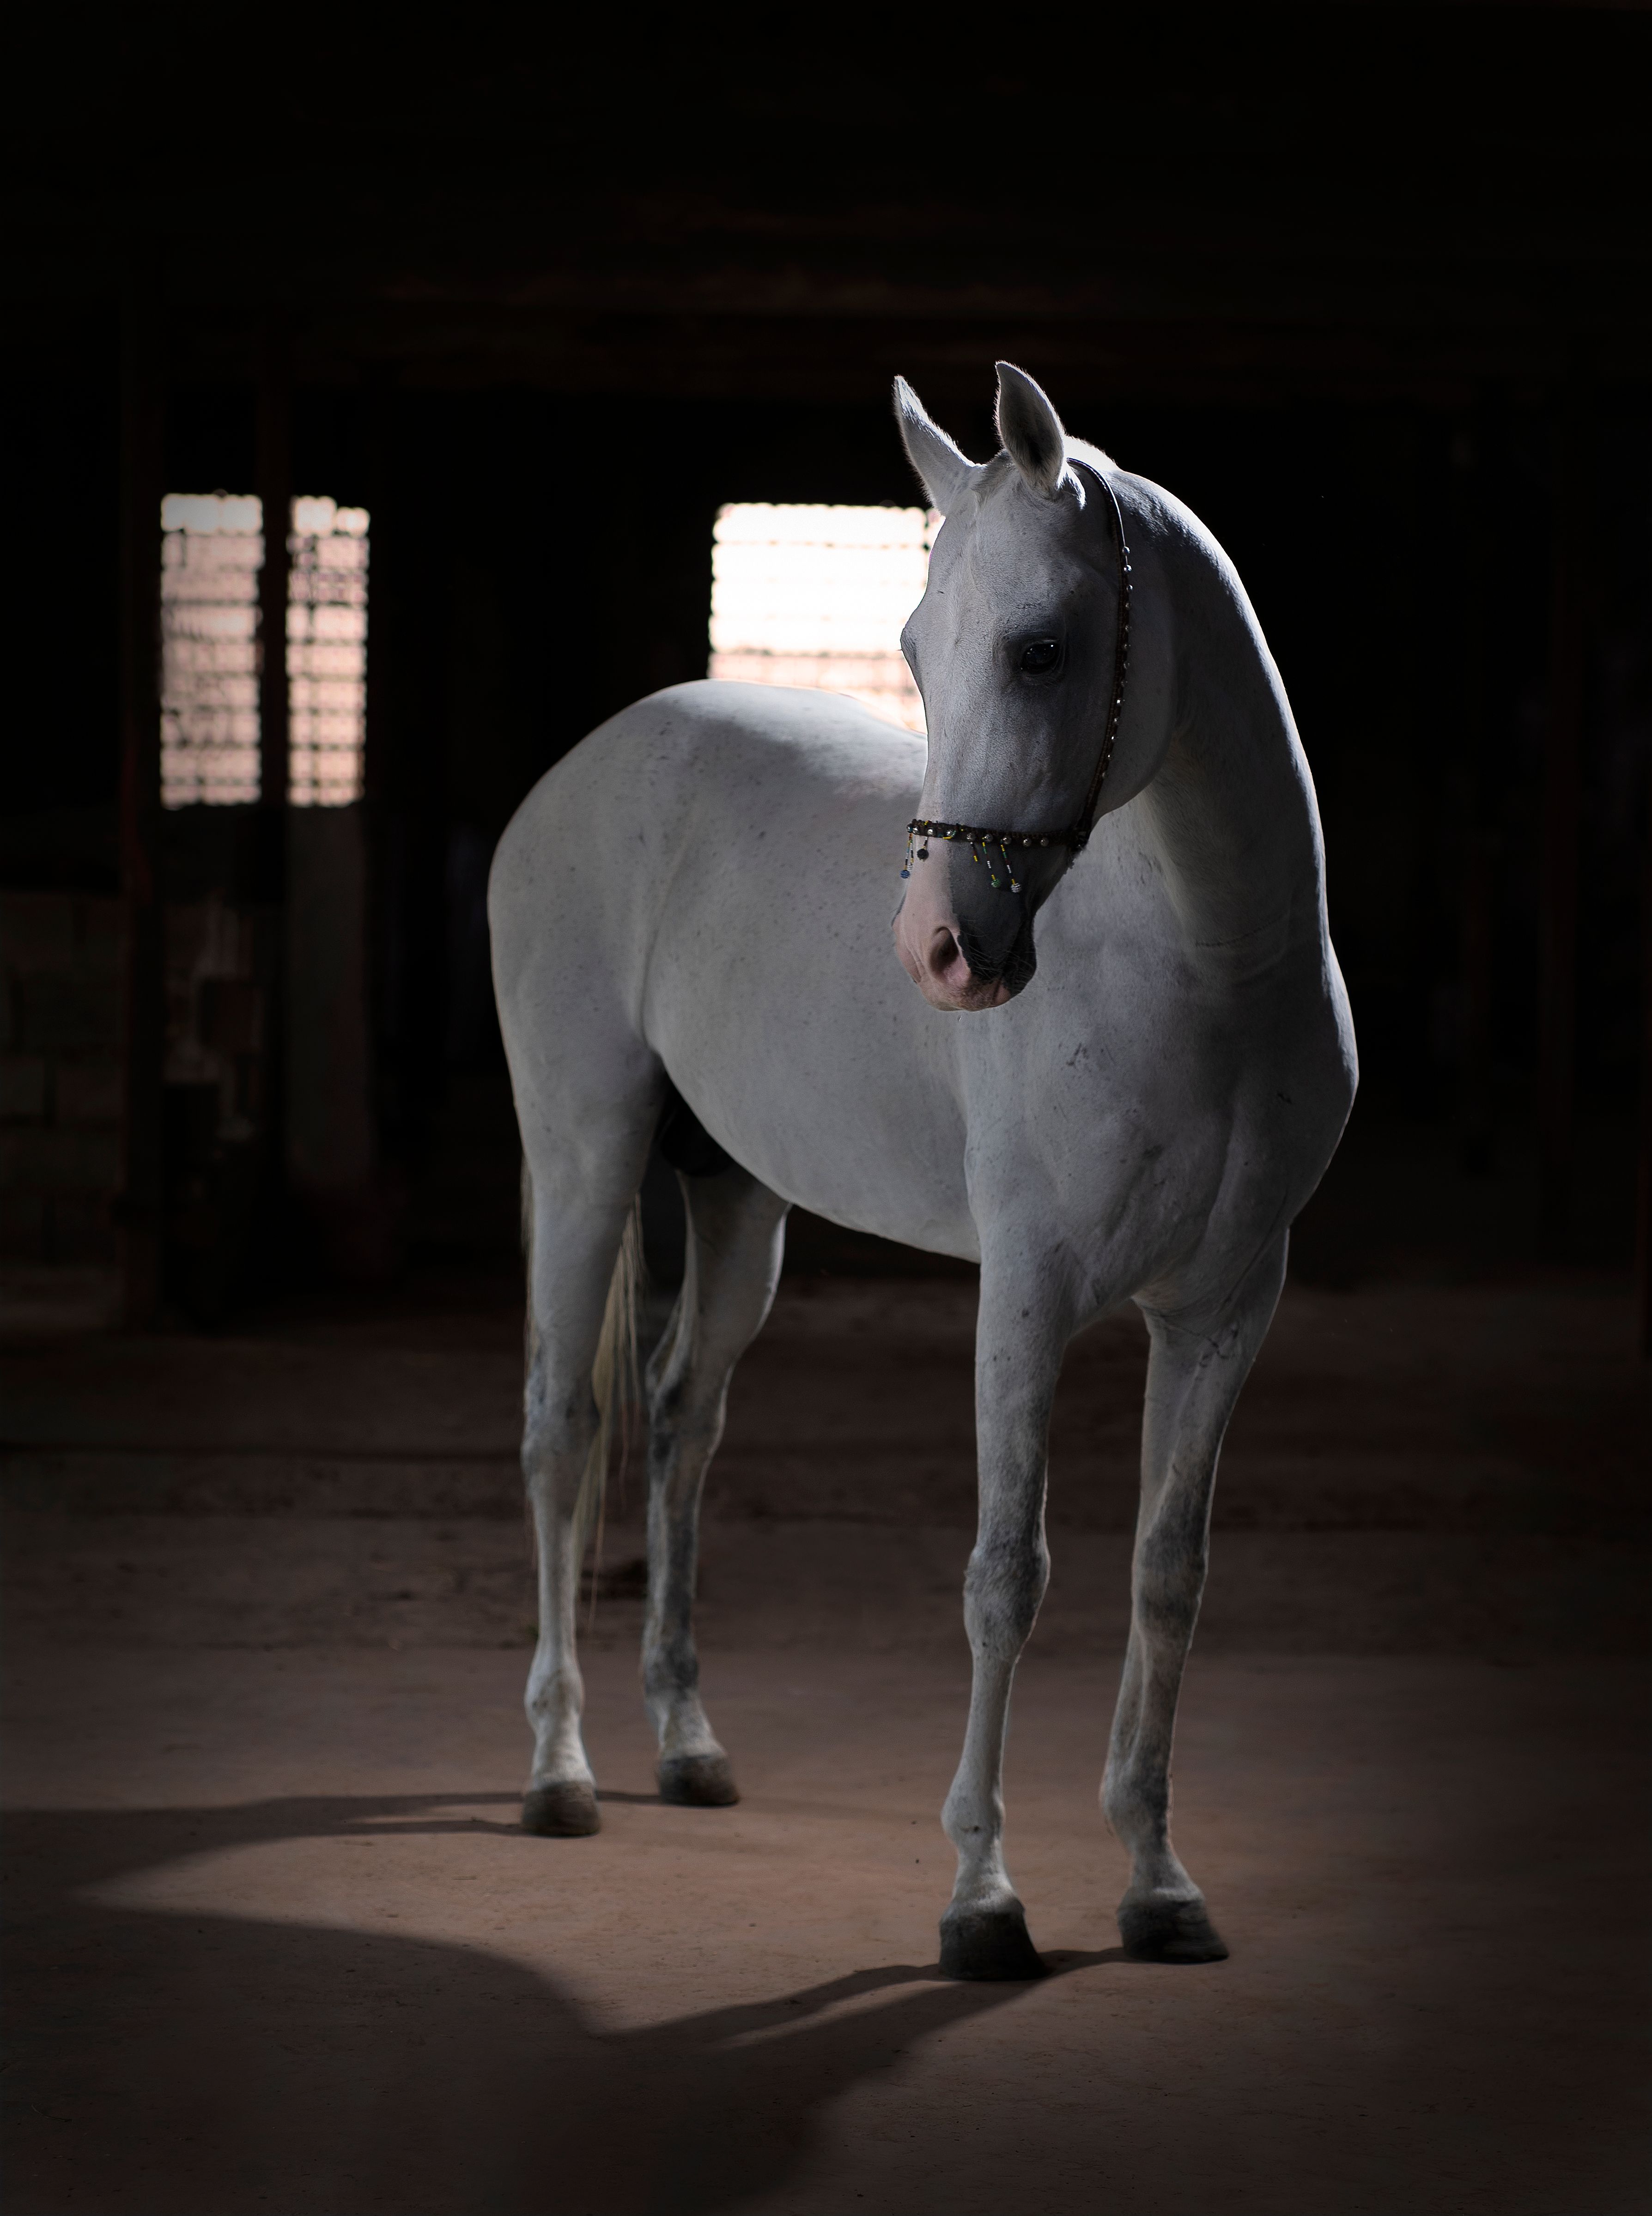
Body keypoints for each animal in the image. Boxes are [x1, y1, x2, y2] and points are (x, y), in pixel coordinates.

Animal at [488, 362, 1356, 1979]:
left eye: (1037, 646)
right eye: (910, 644)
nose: (942, 950)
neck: (1201, 968)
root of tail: (582, 769)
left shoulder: (1226, 1303)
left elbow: (1169, 1572)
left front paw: (1158, 1882)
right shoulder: (1027, 1291)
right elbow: (1006, 1574)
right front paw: (982, 1897)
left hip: (736, 1197)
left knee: (683, 1422)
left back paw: (687, 1744)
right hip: (582, 1157)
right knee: (562, 1432)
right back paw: (558, 1771)